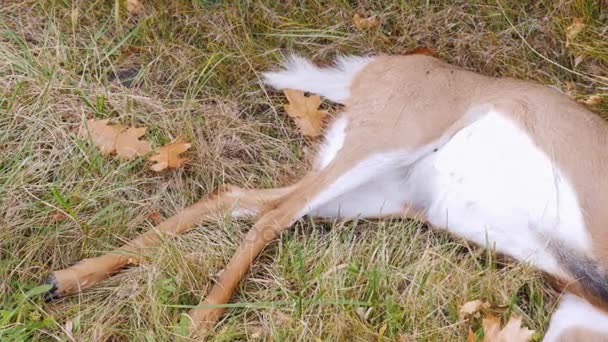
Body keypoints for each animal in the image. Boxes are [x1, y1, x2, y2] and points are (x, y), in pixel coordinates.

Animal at [44, 53, 608, 340]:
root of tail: (374, 67)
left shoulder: (581, 309)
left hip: (385, 192)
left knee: (240, 197)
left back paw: (67, 278)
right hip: (384, 142)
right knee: (269, 216)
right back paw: (197, 320)